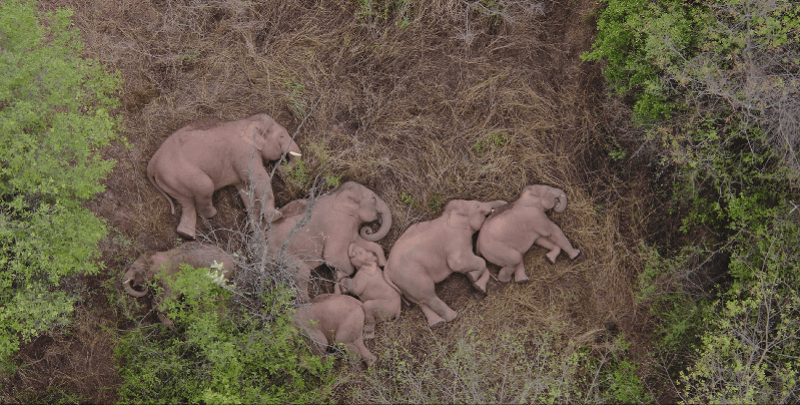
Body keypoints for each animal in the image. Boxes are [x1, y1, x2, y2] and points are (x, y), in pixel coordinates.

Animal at [382, 199, 506, 328]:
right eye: (477, 205)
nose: (505, 203)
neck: (448, 216)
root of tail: (386, 270)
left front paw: (475, 282)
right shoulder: (456, 240)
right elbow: (460, 263)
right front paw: (472, 277)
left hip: (404, 284)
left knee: (419, 300)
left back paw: (437, 323)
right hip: (411, 276)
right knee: (428, 295)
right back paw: (452, 317)